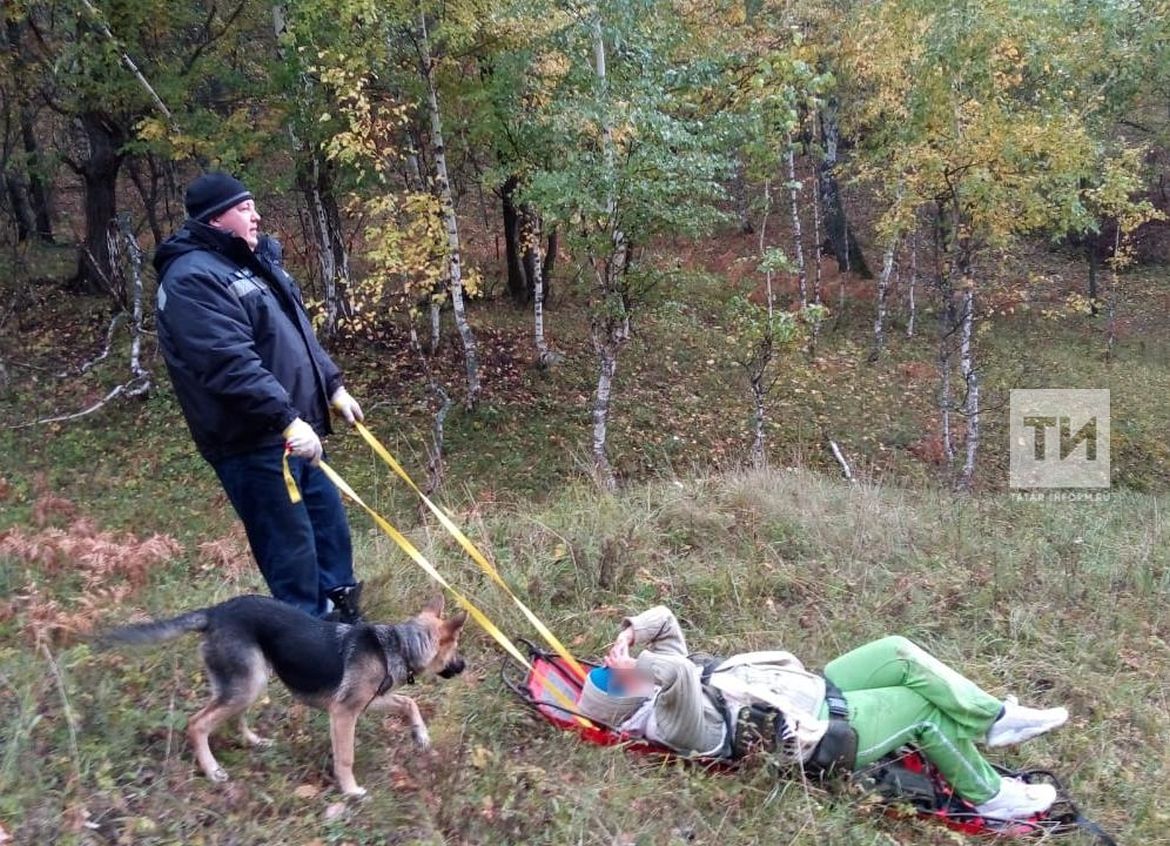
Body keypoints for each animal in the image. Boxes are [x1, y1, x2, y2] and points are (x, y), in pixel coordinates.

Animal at [100, 592, 465, 795]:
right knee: (197, 723)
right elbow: (345, 757)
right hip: (249, 683)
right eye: (456, 649)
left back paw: (253, 741)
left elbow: (409, 702)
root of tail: (215, 611)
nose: (465, 666)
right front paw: (350, 791)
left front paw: (421, 736)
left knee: (232, 718)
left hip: (249, 682)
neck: (397, 646)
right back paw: (213, 771)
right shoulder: (343, 713)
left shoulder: (368, 702)